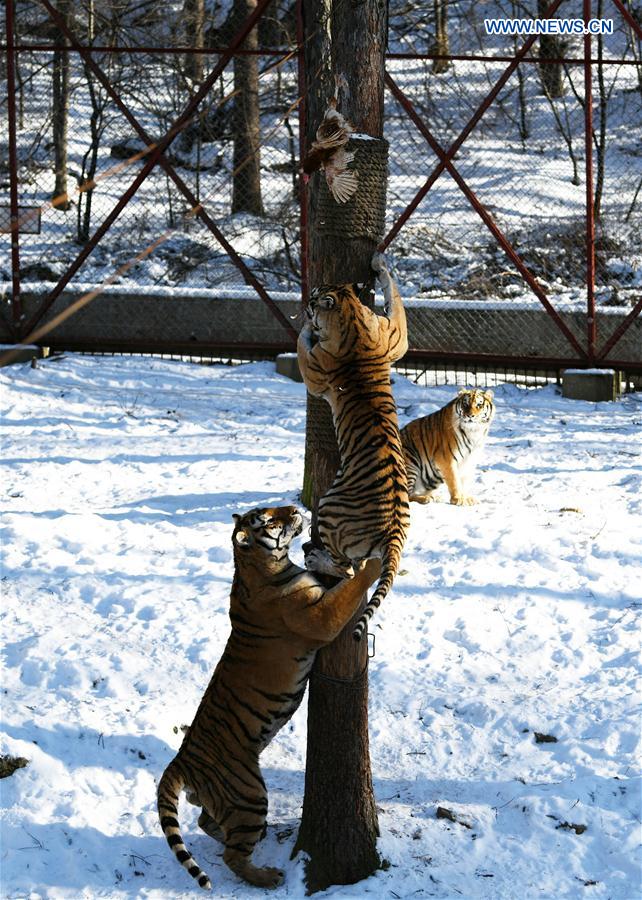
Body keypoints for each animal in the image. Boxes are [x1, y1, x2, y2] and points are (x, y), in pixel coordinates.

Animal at [157, 505, 381, 891]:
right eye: (269, 519)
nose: (293, 509)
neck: (264, 565)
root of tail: (181, 761)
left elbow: (342, 580)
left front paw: (332, 560)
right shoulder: (319, 618)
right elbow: (351, 589)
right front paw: (371, 563)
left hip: (229, 801)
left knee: (206, 823)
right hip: (249, 794)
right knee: (232, 855)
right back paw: (267, 877)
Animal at [297, 252, 409, 642]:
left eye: (316, 293)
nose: (305, 301)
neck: (351, 316)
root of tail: (394, 533)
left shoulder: (315, 374)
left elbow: (303, 349)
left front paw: (306, 328)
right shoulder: (396, 335)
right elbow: (394, 295)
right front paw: (379, 263)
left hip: (329, 506)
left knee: (345, 569)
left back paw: (315, 557)